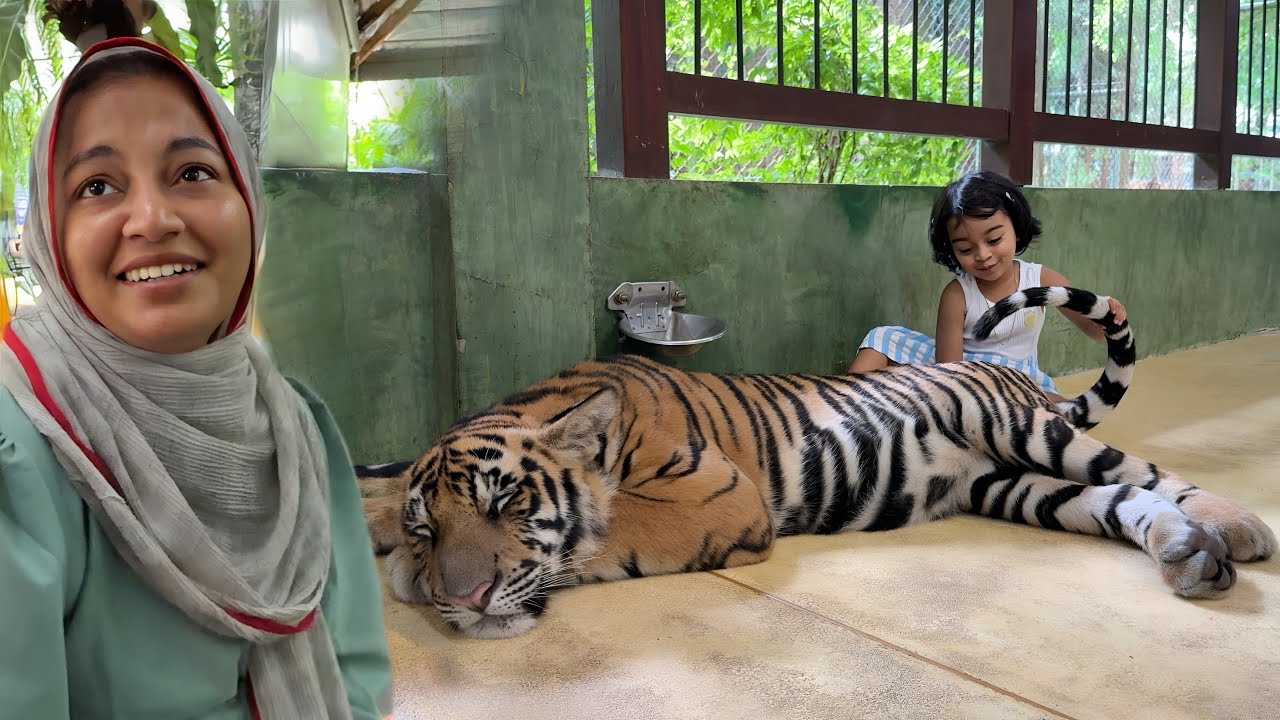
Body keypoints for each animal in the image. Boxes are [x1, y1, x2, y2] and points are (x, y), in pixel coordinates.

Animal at [358, 286, 1276, 639]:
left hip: (1028, 435)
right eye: (432, 527)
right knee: (1122, 500)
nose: (459, 598)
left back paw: (1236, 528)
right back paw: (1191, 555)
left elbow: (601, 533)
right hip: (1014, 487)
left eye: (507, 504)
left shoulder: (716, 495)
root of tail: (1012, 374)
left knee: (1150, 472)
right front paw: (381, 528)